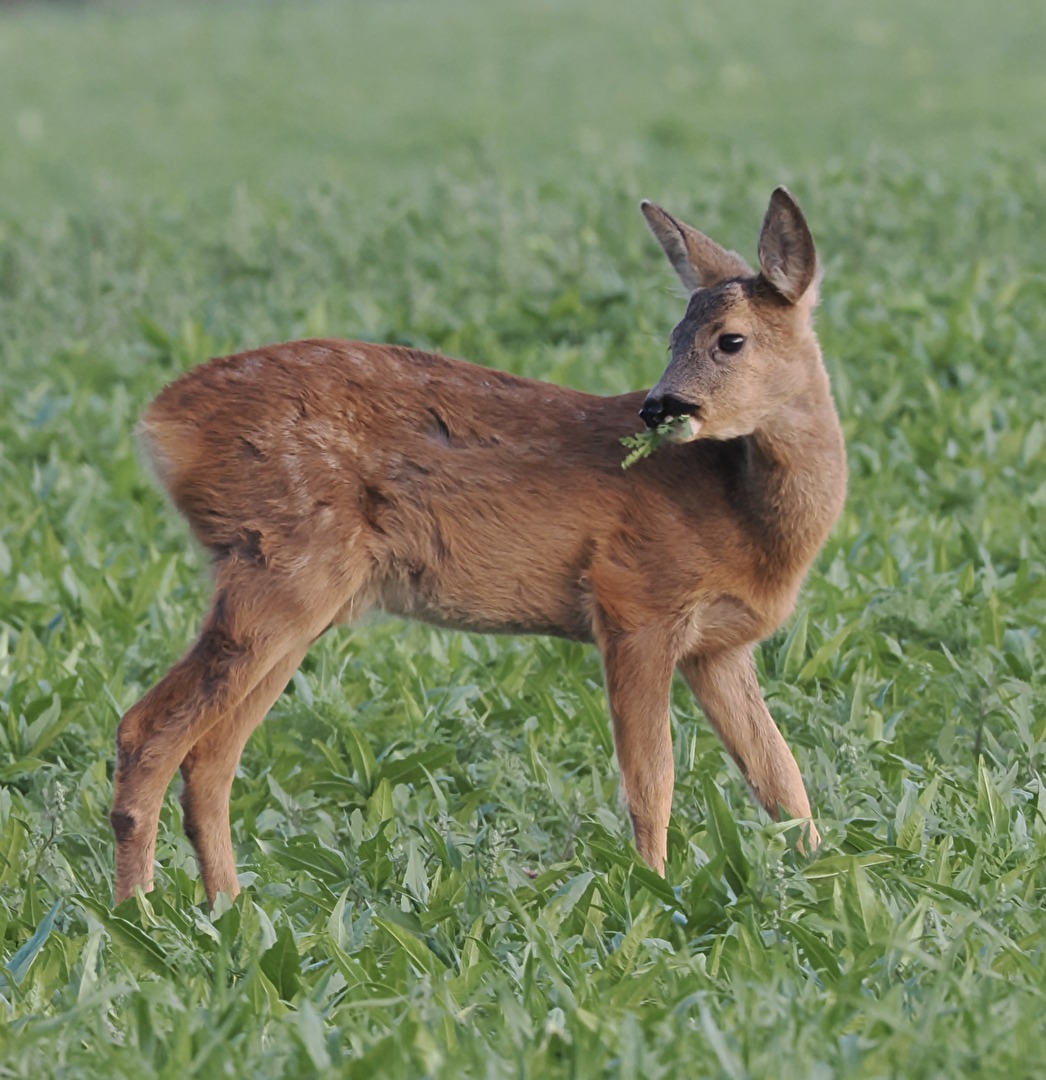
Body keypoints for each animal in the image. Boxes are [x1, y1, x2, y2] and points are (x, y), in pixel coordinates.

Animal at [110, 186, 847, 906]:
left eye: (729, 339)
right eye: (672, 338)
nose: (658, 406)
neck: (741, 514)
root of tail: (160, 424)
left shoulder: (717, 647)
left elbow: (782, 778)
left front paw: (824, 884)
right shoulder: (634, 598)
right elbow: (652, 781)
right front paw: (652, 896)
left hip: (298, 595)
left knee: (211, 757)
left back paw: (226, 909)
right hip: (282, 563)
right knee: (146, 730)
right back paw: (138, 911)